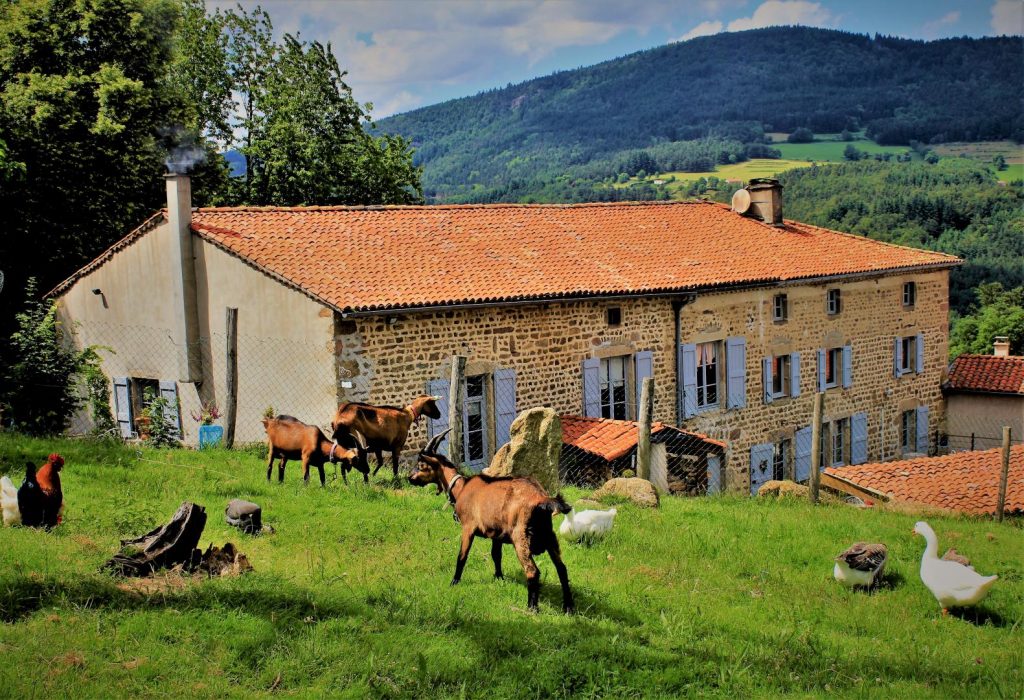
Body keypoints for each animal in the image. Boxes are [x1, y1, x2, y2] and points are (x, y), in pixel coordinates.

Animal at [407, 429, 577, 609]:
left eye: (422, 465)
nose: (410, 478)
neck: (461, 488)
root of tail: (541, 498)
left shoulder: (468, 528)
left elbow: (461, 557)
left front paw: (454, 582)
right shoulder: (497, 533)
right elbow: (496, 555)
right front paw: (499, 577)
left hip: (521, 537)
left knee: (532, 571)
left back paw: (532, 607)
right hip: (549, 536)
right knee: (562, 568)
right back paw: (568, 606)